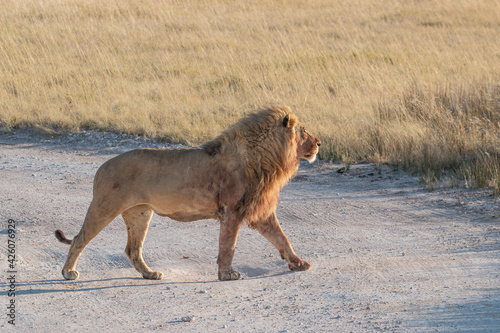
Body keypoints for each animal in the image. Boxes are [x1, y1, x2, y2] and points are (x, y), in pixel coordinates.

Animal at [54, 105, 320, 278]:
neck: (267, 159)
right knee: (79, 239)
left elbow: (282, 238)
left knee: (133, 250)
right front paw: (227, 274)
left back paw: (150, 274)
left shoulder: (260, 211)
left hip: (139, 213)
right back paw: (68, 272)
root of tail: (102, 166)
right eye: (304, 130)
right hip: (105, 206)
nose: (319, 143)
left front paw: (298, 264)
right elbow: (228, 246)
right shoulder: (232, 211)